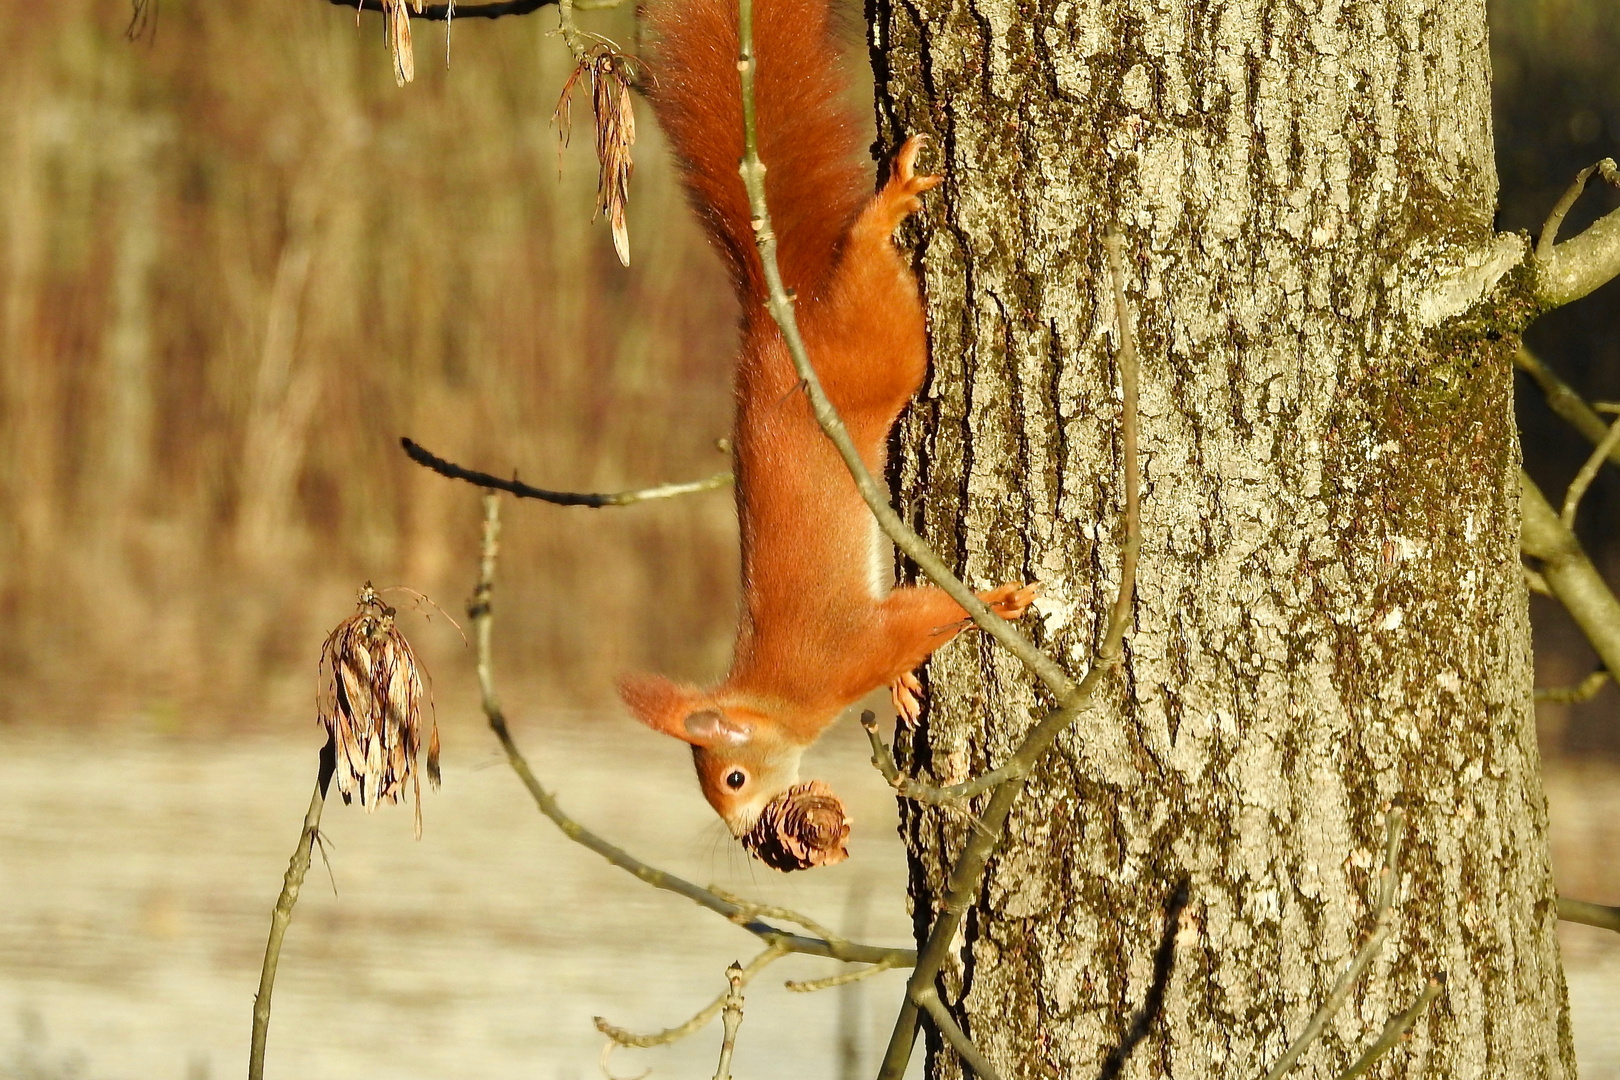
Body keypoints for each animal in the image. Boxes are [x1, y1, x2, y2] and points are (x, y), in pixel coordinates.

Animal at [618, 0, 1036, 841]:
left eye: (733, 777)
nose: (744, 835)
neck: (782, 695)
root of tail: (780, 316)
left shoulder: (847, 651)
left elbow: (927, 616)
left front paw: (1000, 602)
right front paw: (906, 689)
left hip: (883, 349)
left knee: (871, 263)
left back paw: (885, 209)